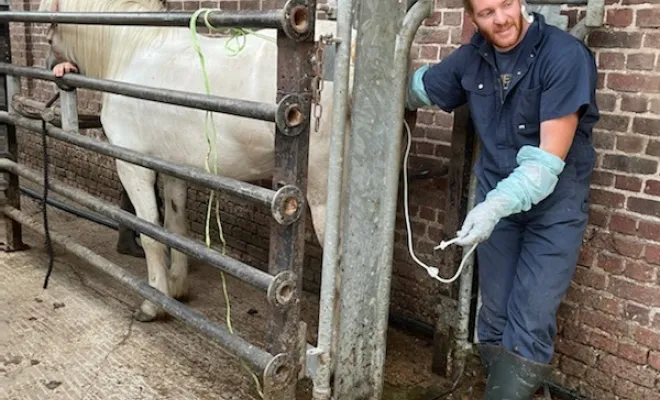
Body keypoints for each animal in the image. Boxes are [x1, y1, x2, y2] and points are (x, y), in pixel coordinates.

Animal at [38, 0, 354, 320]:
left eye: (49, 35)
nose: (52, 67)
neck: (134, 53)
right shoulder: (174, 169)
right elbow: (176, 228)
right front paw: (177, 288)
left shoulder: (134, 167)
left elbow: (150, 232)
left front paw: (153, 303)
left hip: (323, 199)